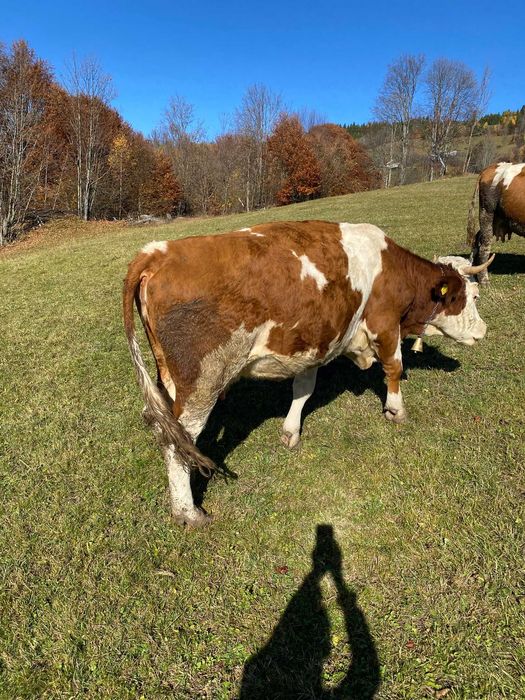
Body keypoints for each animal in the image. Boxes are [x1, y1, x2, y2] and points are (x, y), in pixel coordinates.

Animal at [123, 221, 490, 527]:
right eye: (470, 296)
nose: (483, 331)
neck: (395, 269)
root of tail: (158, 251)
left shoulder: (316, 343)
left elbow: (304, 388)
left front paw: (291, 430)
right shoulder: (384, 324)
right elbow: (394, 367)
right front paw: (396, 410)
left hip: (169, 379)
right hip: (203, 383)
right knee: (178, 441)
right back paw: (188, 512)